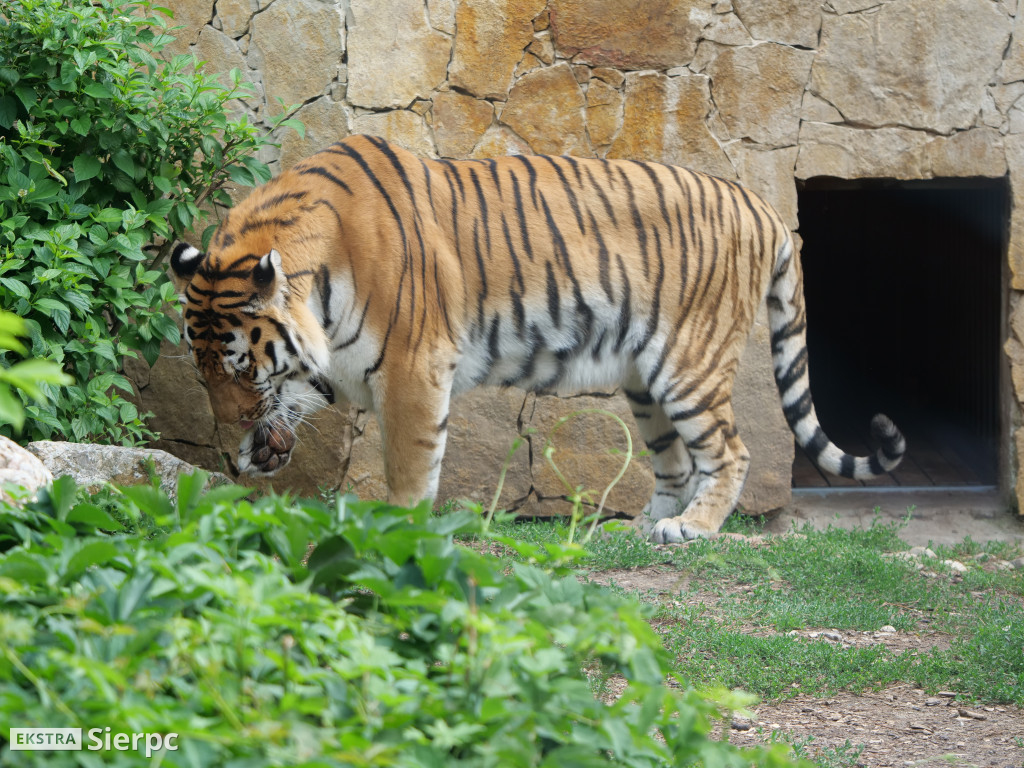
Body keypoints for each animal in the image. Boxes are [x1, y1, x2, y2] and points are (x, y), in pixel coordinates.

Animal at [169, 137, 905, 548]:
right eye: (201, 371)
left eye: (240, 367)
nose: (226, 431)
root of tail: (763, 206)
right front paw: (265, 448)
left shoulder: (413, 368)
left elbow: (409, 468)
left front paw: (397, 531)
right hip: (645, 382)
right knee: (675, 462)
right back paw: (638, 527)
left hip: (689, 364)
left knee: (730, 451)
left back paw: (692, 530)